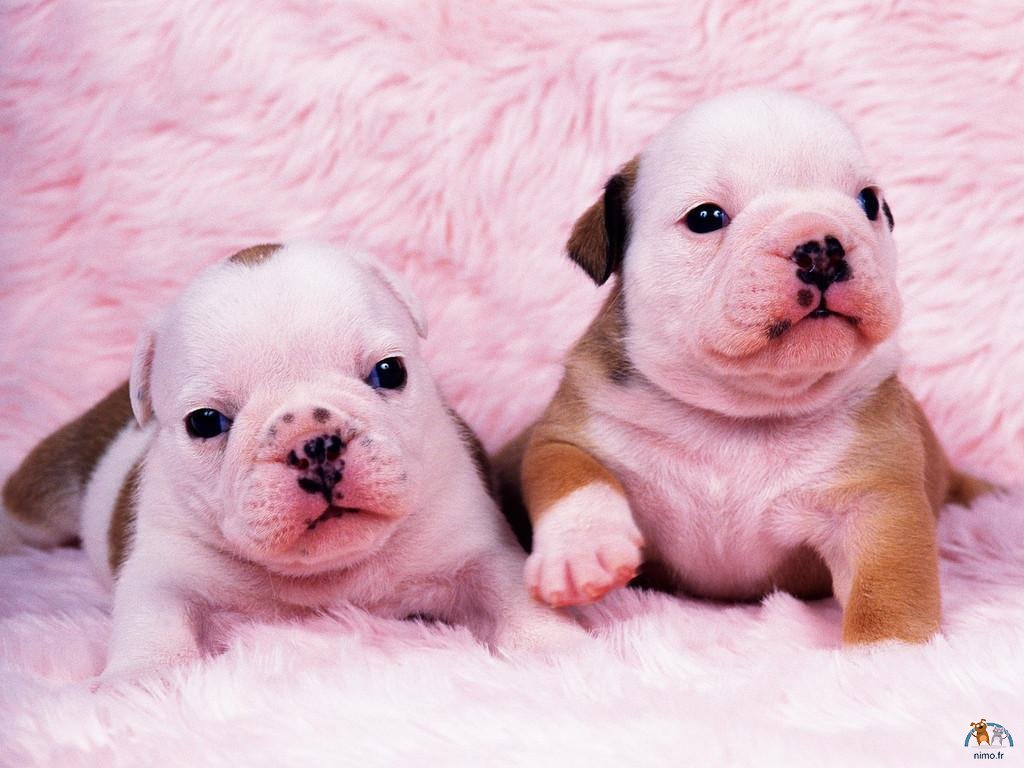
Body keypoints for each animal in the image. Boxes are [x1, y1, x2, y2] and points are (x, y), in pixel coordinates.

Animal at [3, 243, 581, 680]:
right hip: (46, 491)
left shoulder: (474, 542)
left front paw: (552, 646)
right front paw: (141, 678)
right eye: (205, 422)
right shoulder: (162, 567)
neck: (329, 573)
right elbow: (153, 618)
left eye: (389, 371)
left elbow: (510, 587)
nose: (314, 443)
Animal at [495, 89, 990, 645]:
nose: (822, 246)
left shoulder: (876, 501)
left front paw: (886, 653)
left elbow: (887, 587)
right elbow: (571, 473)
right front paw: (582, 552)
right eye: (706, 217)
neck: (741, 410)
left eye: (869, 203)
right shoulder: (572, 430)